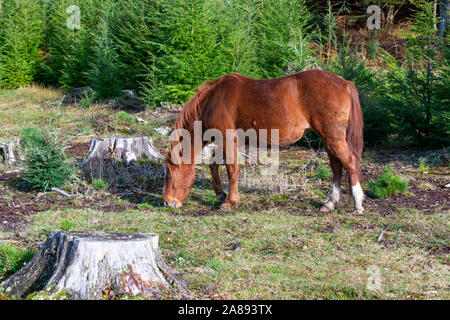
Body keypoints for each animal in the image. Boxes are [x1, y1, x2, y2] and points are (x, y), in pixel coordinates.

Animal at [163, 70, 366, 214]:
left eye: (170, 176)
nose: (166, 202)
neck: (214, 100)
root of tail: (344, 83)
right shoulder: (221, 141)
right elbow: (214, 165)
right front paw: (221, 194)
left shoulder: (228, 139)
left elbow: (231, 169)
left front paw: (230, 202)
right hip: (328, 139)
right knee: (336, 167)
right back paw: (330, 203)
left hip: (333, 137)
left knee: (350, 163)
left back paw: (358, 203)